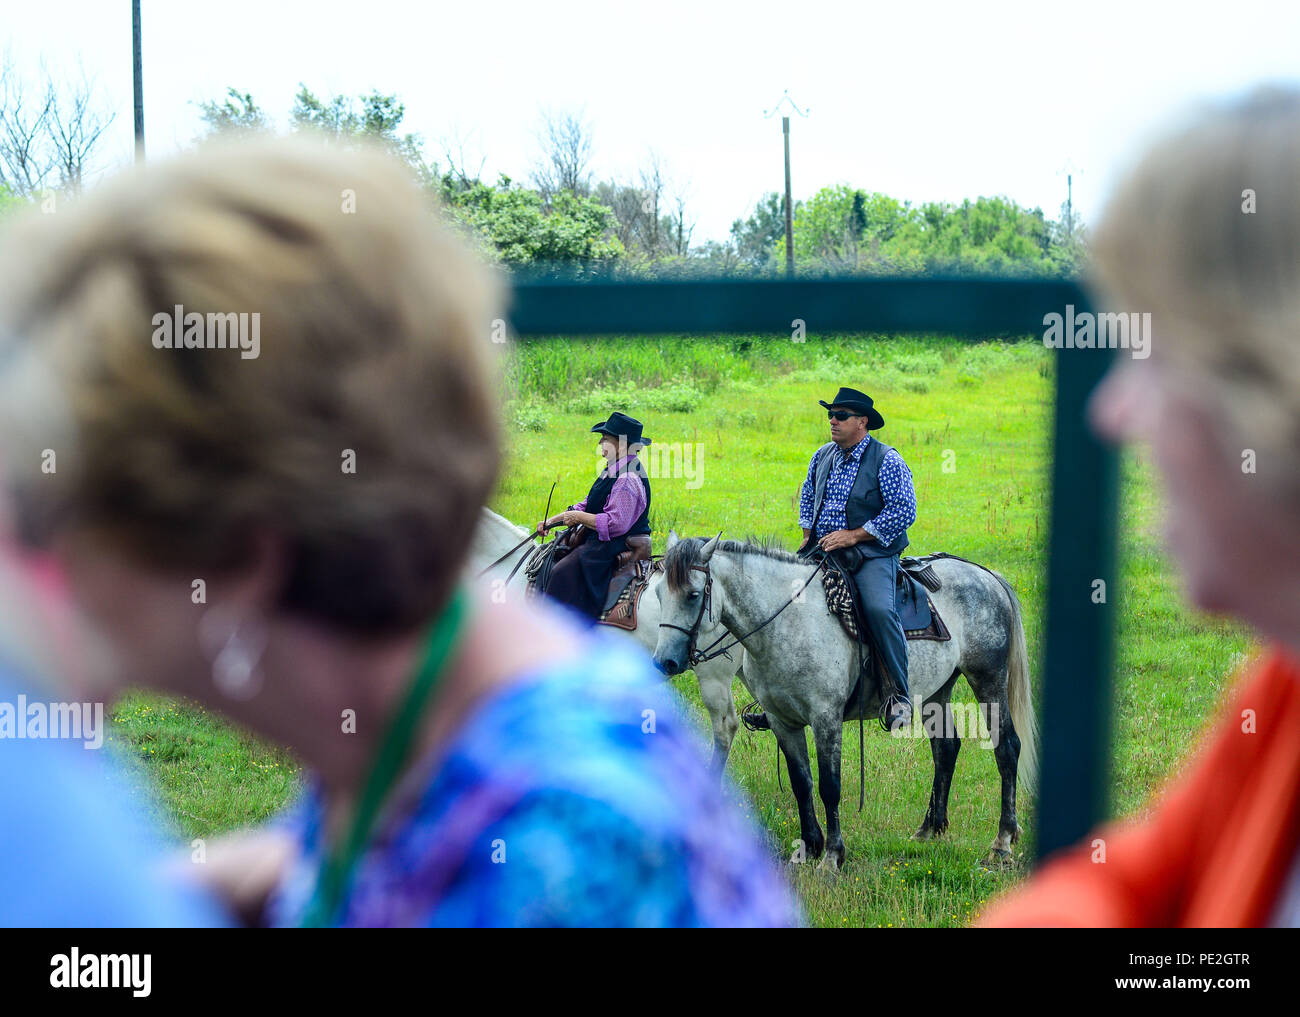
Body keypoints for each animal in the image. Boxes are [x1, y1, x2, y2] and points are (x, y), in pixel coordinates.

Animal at [652, 533, 1037, 869]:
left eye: (693, 594)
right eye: (658, 593)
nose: (665, 662)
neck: (788, 622)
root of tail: (985, 575)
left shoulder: (826, 718)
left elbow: (829, 786)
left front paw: (833, 856)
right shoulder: (781, 721)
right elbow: (801, 783)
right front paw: (809, 847)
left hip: (988, 680)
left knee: (1007, 748)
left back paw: (1002, 841)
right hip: (936, 692)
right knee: (945, 748)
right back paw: (930, 828)